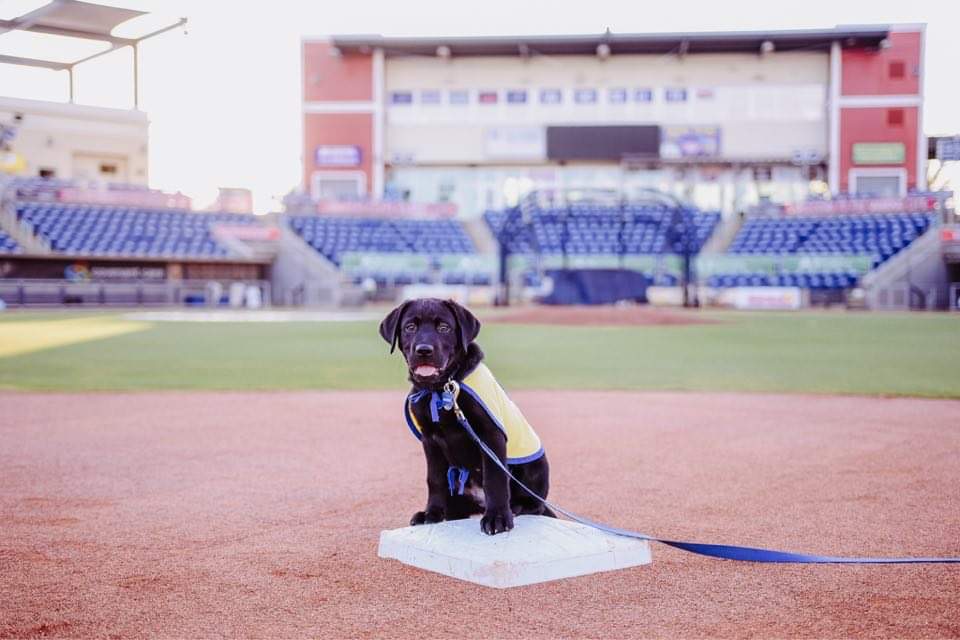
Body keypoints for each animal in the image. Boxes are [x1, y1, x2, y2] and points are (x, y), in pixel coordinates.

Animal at [376, 298, 552, 536]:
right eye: (410, 327)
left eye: (444, 327)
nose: (424, 350)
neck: (441, 388)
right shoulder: (430, 440)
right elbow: (435, 479)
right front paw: (432, 513)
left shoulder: (490, 435)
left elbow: (494, 478)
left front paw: (497, 517)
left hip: (536, 466)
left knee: (536, 504)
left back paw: (516, 507)